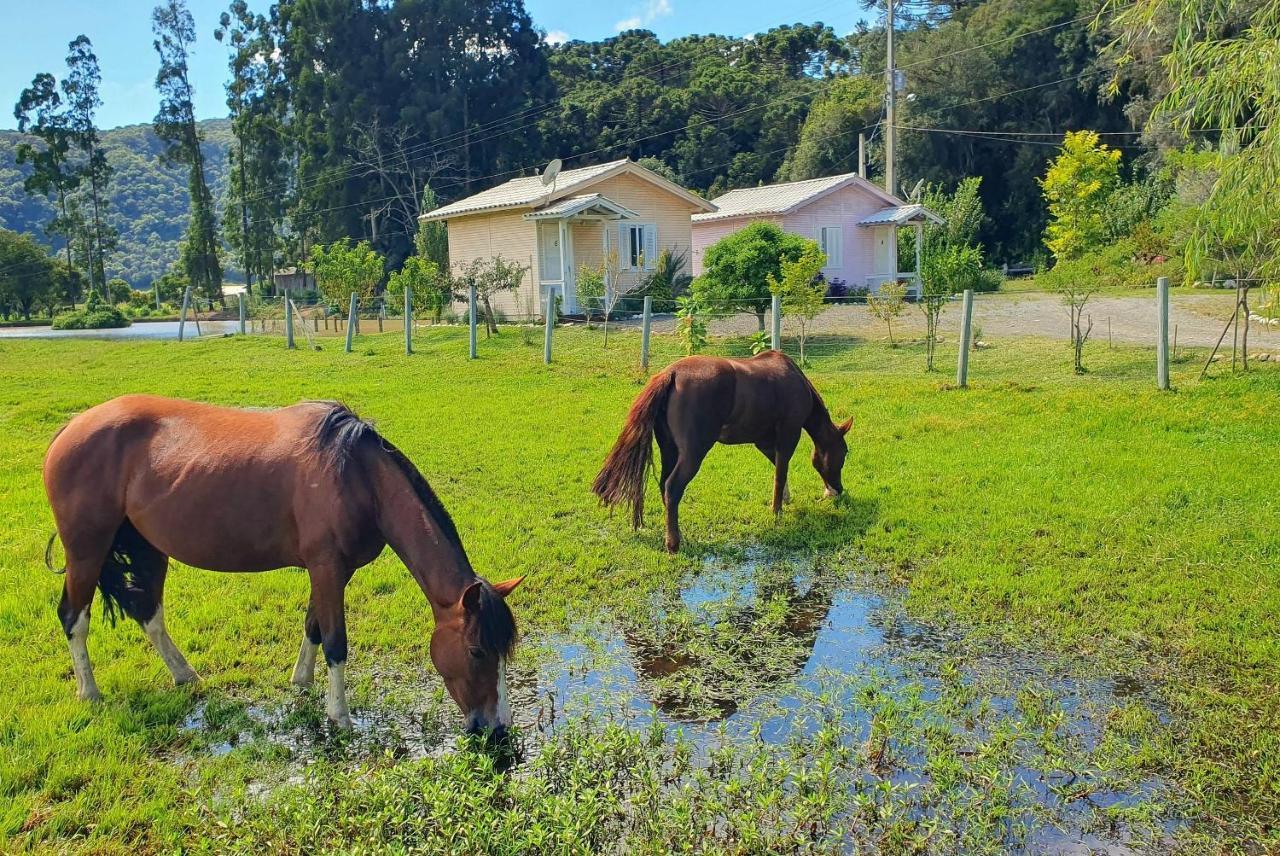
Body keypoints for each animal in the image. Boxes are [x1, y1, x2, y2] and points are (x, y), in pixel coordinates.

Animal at [45, 394, 522, 737]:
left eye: (504, 651)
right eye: (477, 650)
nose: (497, 730)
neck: (355, 474)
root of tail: (71, 428)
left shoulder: (330, 571)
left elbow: (313, 626)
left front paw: (301, 682)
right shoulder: (327, 567)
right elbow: (335, 642)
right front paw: (339, 716)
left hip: (148, 548)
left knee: (148, 613)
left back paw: (184, 675)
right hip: (86, 549)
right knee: (74, 617)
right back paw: (90, 693)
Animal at [593, 350, 855, 550]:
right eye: (843, 453)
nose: (837, 490)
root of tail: (672, 374)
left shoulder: (763, 441)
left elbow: (778, 469)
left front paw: (785, 498)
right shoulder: (789, 434)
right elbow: (780, 473)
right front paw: (777, 510)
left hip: (669, 449)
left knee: (664, 486)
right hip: (693, 452)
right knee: (673, 486)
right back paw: (674, 542)